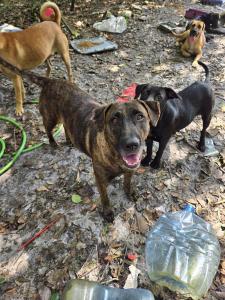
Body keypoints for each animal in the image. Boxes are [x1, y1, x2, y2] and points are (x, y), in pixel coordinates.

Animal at [0, 56, 161, 221]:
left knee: (66, 126)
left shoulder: (130, 170)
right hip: (51, 117)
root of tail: (51, 81)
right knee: (48, 129)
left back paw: (69, 141)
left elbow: (127, 183)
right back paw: (53, 143)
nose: (131, 145)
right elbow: (105, 198)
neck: (115, 156)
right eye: (114, 119)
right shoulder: (100, 179)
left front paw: (130, 193)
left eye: (140, 116)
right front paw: (107, 212)